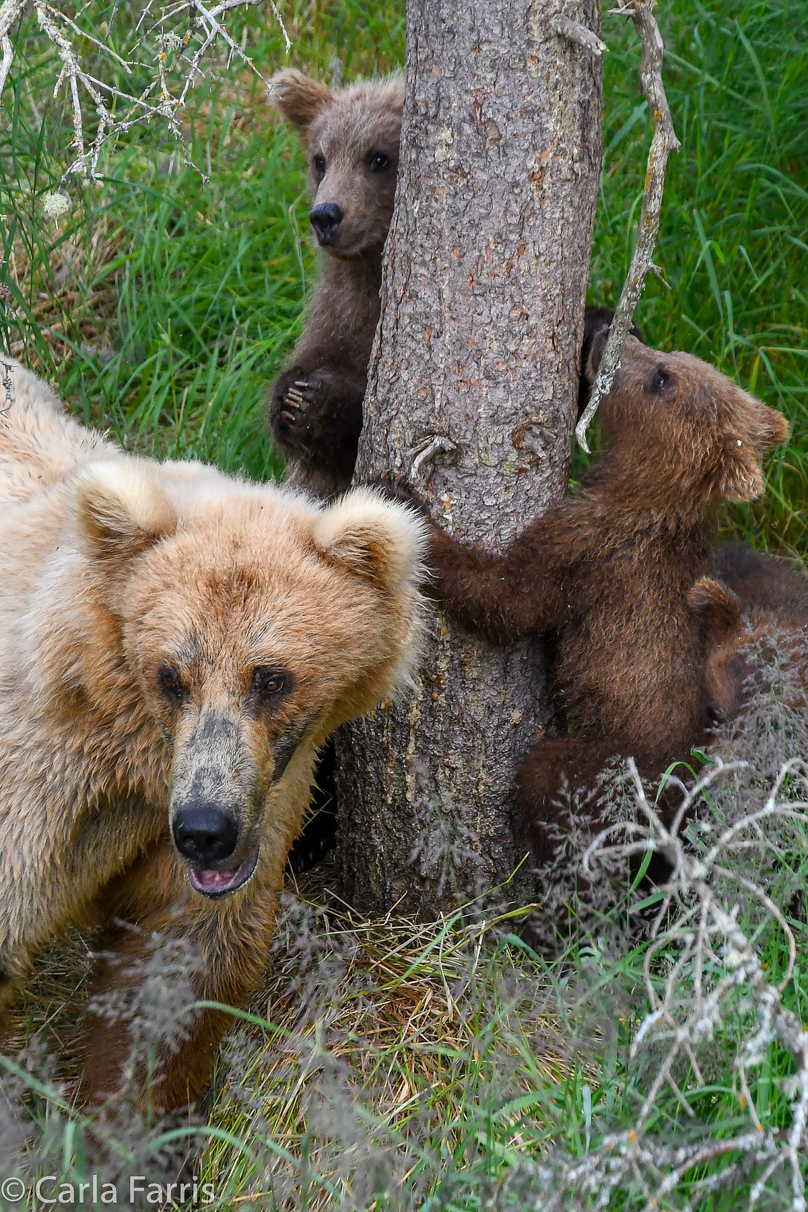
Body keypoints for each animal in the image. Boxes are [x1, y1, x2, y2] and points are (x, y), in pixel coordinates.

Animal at [0, 353, 428, 1110]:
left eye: (271, 678)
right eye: (172, 674)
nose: (205, 828)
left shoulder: (255, 800)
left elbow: (179, 962)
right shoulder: (41, 779)